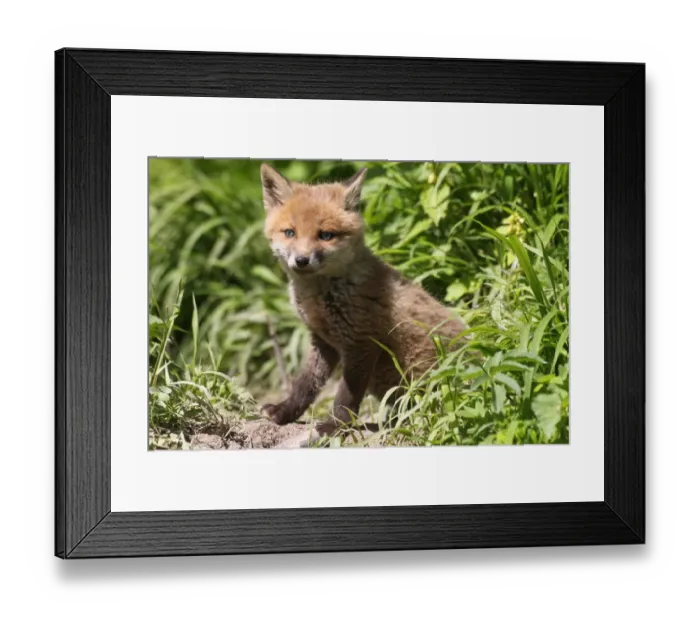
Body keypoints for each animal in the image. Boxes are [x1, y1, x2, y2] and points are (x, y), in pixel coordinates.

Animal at [259, 163, 466, 439]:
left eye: (326, 235)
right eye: (290, 233)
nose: (302, 260)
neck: (322, 299)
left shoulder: (362, 342)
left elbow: (346, 397)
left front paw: (334, 426)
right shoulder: (323, 341)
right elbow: (305, 385)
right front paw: (284, 412)